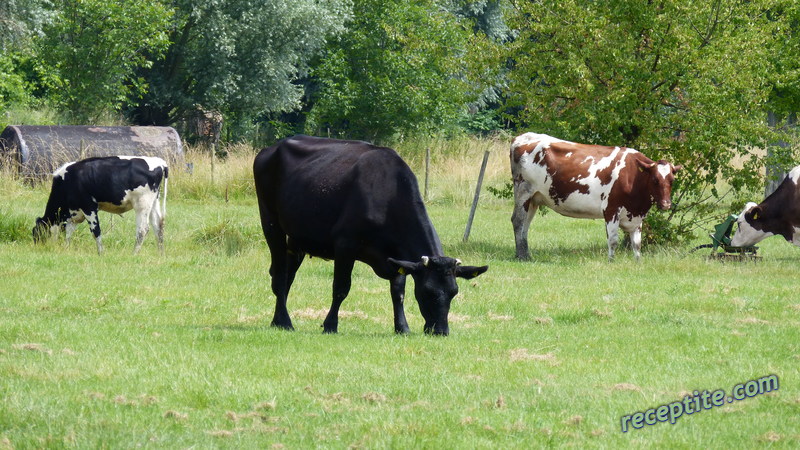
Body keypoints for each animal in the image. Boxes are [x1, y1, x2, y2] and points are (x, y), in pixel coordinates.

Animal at [33, 156, 169, 255]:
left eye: (36, 233)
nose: (37, 247)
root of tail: (160, 162)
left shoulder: (88, 206)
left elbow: (96, 231)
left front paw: (100, 253)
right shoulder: (74, 213)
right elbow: (68, 232)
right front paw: (66, 249)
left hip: (142, 203)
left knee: (143, 229)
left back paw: (134, 254)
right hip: (154, 202)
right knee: (158, 226)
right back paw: (160, 254)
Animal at [253, 135, 488, 336]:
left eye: (454, 292)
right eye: (428, 291)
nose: (440, 331)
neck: (388, 195)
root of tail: (270, 148)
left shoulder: (397, 256)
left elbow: (398, 292)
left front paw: (402, 327)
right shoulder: (345, 245)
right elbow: (341, 287)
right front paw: (330, 325)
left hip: (297, 238)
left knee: (287, 276)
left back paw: (277, 320)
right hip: (271, 223)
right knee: (279, 274)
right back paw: (285, 321)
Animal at [512, 133, 680, 260]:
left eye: (672, 180)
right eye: (655, 180)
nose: (666, 204)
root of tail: (522, 137)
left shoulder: (637, 215)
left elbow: (637, 244)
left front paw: (638, 262)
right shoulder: (611, 209)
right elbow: (613, 240)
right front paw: (611, 262)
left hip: (534, 199)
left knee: (526, 224)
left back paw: (526, 254)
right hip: (523, 192)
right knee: (518, 221)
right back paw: (522, 257)